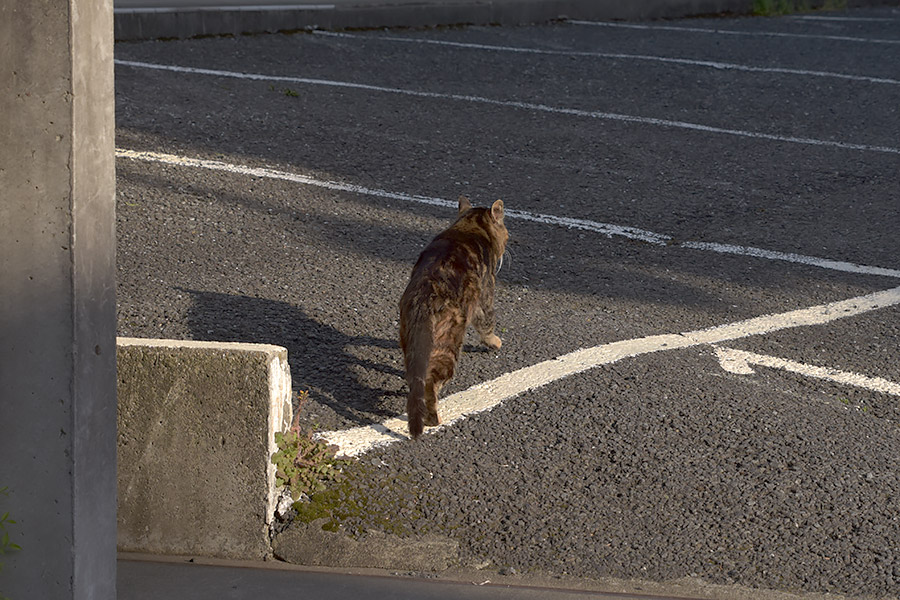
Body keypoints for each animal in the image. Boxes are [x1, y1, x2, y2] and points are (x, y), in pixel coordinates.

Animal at [400, 198, 510, 440]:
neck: (468, 228)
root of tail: (425, 296)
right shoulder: (485, 294)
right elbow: (487, 323)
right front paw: (495, 342)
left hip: (409, 341)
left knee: (415, 379)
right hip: (448, 348)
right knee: (430, 385)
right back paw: (433, 419)